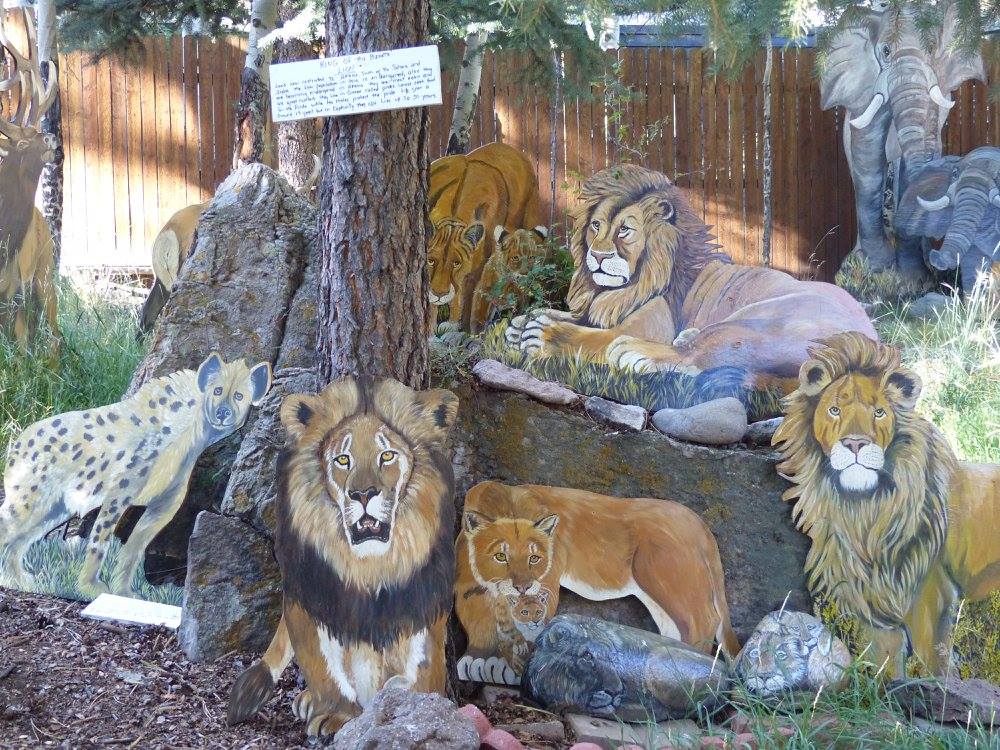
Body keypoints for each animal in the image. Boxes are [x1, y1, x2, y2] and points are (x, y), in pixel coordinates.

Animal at [508, 165, 876, 394]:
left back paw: (636, 352)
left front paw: (542, 333)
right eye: (596, 226)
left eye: (625, 230)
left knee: (699, 355)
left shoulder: (651, 324)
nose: (597, 256)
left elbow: (594, 338)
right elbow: (573, 316)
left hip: (764, 316)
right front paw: (522, 323)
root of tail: (874, 343)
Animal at [772, 334, 1000, 676]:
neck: (865, 510)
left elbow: (933, 664)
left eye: (879, 412)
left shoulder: (932, 596)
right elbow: (885, 664)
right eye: (834, 410)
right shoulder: (869, 600)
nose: (855, 443)